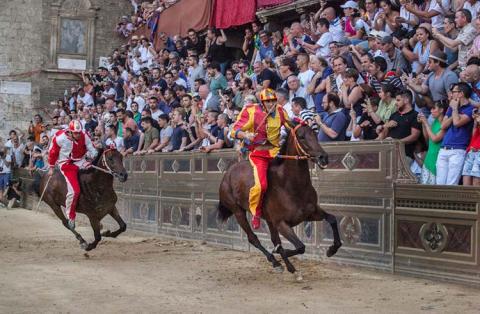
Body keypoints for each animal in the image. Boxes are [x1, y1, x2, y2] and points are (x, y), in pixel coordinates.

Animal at [218, 124, 342, 276]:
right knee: (253, 238)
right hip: (238, 212)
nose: (323, 157)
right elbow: (299, 246)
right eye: (301, 136)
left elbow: (332, 219)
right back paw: (276, 262)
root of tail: (228, 173)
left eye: (315, 134)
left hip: (268, 219)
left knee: (273, 239)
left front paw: (332, 249)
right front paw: (282, 255)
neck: (290, 185)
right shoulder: (281, 223)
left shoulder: (310, 213)